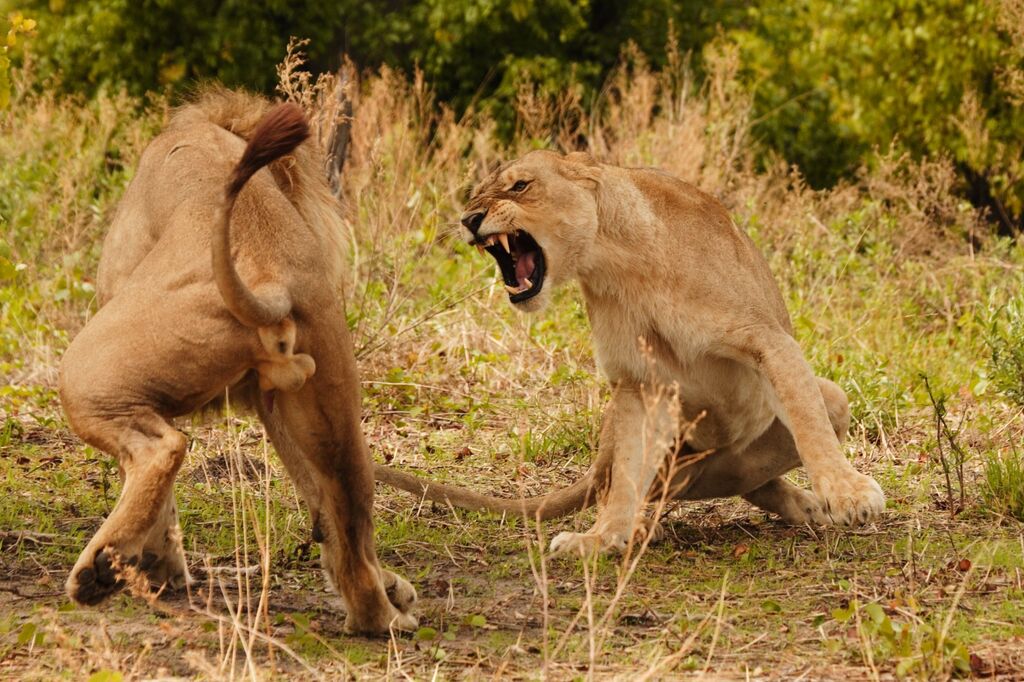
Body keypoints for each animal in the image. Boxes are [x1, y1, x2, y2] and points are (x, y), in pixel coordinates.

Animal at [58, 90, 417, 634]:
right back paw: (379, 617)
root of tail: (268, 276)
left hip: (85, 370)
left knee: (163, 449)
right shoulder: (272, 403)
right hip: (336, 415)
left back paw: (100, 570)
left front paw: (159, 566)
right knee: (350, 511)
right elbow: (319, 503)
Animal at [377, 150, 885, 555]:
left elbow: (808, 422)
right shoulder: (639, 381)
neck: (615, 259)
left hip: (833, 399)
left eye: (520, 185)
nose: (468, 221)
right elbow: (625, 477)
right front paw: (601, 538)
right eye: (474, 196)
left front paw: (848, 493)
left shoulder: (766, 339)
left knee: (745, 466)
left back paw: (797, 502)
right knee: (658, 481)